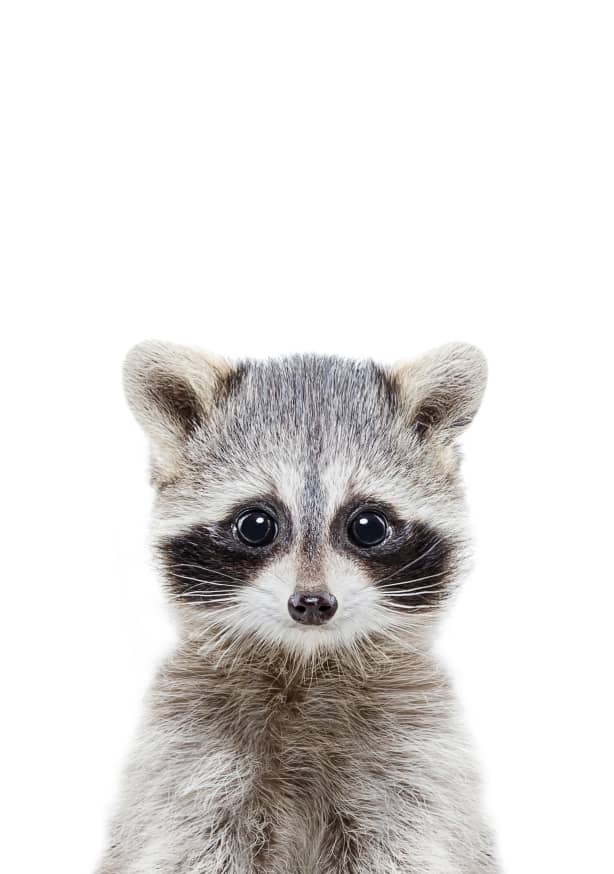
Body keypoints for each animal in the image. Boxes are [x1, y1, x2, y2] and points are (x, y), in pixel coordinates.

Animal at [97, 341, 500, 874]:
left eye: (368, 526)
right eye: (256, 525)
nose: (312, 603)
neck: (305, 662)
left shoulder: (416, 757)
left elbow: (407, 844)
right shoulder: (189, 756)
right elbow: (190, 845)